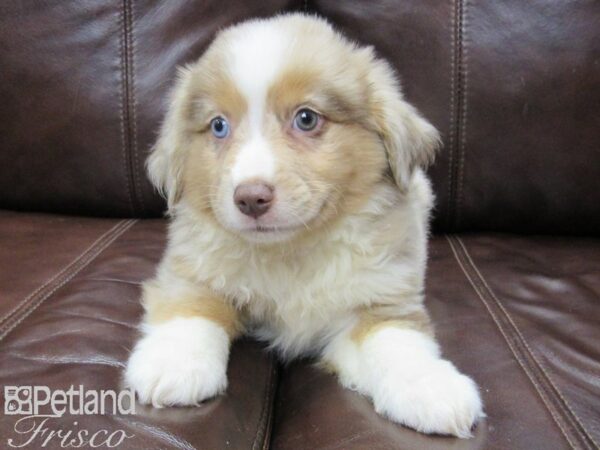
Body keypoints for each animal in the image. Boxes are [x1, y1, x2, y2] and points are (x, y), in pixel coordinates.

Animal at [124, 13, 486, 436]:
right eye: (218, 126)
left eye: (306, 118)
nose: (250, 198)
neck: (290, 252)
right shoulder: (191, 267)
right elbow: (192, 307)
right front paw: (173, 364)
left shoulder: (381, 296)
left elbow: (396, 339)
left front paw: (431, 388)